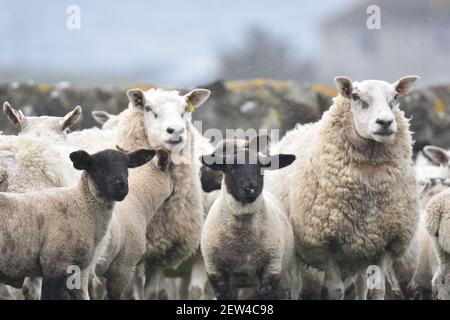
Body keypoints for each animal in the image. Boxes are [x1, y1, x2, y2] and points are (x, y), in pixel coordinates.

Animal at [0, 149, 156, 298]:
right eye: (97, 167)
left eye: (126, 166)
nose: (122, 186)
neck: (81, 203)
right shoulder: (55, 264)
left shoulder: (78, 269)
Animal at [200, 148, 298, 300]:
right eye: (231, 168)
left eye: (262, 167)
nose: (251, 189)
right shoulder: (215, 273)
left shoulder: (272, 270)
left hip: (285, 276)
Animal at [266, 75, 420, 300]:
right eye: (355, 96)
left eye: (395, 97)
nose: (385, 122)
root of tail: (296, 129)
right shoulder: (325, 244)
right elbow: (336, 290)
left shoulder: (385, 244)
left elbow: (378, 290)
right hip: (293, 246)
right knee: (295, 285)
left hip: (361, 250)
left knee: (361, 285)